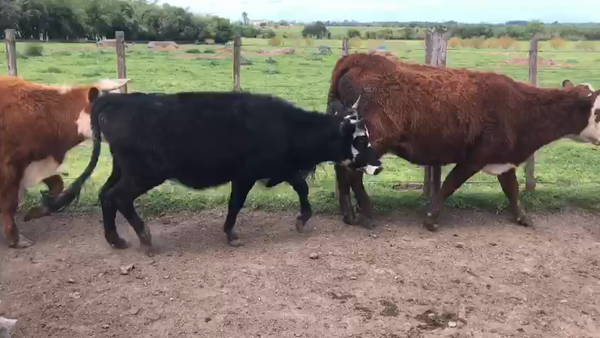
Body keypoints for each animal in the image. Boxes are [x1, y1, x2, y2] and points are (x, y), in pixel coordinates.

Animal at [39, 92, 382, 248]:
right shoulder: (245, 175)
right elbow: (236, 204)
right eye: (360, 139)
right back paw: (144, 235)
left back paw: (115, 239)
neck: (285, 126)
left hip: (122, 169)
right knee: (119, 198)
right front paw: (230, 233)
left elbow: (302, 186)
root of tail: (116, 99)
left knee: (105, 195)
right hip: (144, 173)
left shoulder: (279, 168)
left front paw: (302, 219)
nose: (379, 165)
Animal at [328, 53, 600, 232]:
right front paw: (431, 217)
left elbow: (511, 190)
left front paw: (523, 217)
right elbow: (450, 184)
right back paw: (366, 213)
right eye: (598, 111)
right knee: (353, 173)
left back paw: (348, 214)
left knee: (342, 170)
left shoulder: (502, 158)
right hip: (372, 141)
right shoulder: (475, 157)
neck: (520, 107)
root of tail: (358, 58)